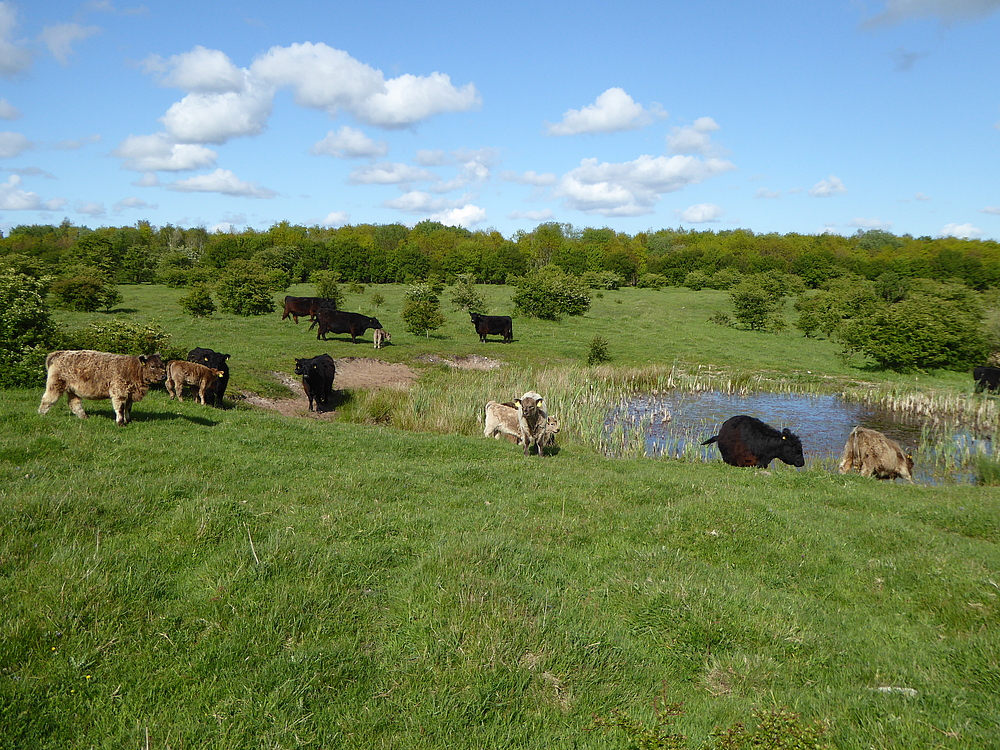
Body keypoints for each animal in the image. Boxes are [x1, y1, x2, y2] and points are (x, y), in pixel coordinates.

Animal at [38, 350, 167, 426]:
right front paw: (120, 423)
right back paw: (41, 414)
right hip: (55, 384)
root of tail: (57, 353)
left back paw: (84, 417)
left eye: (162, 365)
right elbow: (120, 408)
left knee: (74, 403)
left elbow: (128, 408)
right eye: (152, 366)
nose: (164, 376)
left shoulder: (129, 394)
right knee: (48, 399)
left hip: (72, 389)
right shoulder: (119, 392)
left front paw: (129, 421)